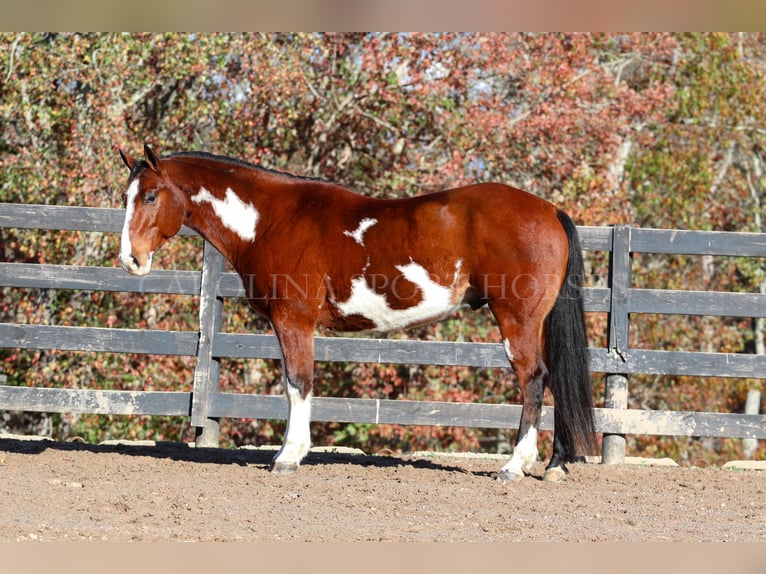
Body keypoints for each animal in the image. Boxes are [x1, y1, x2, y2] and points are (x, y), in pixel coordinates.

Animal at [118, 145, 600, 482]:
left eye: (151, 195)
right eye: (126, 197)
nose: (130, 260)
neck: (272, 220)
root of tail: (549, 210)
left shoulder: (293, 320)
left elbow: (298, 382)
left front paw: (288, 456)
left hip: (517, 320)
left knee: (533, 379)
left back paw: (515, 465)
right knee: (554, 376)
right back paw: (556, 464)